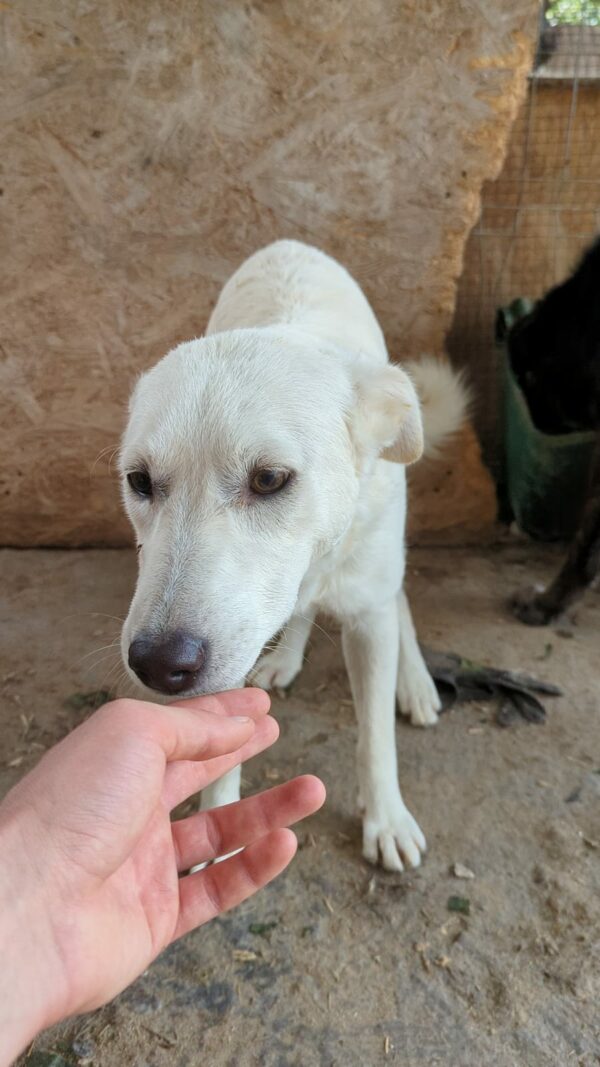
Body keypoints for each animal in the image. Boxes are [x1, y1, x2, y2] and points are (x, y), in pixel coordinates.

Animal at [119, 240, 465, 866]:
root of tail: (290, 246)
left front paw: (386, 818)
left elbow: (376, 736)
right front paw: (217, 833)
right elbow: (221, 754)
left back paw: (415, 681)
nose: (157, 664)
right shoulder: (227, 645)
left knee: (397, 597)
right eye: (139, 481)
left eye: (269, 479)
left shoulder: (367, 615)